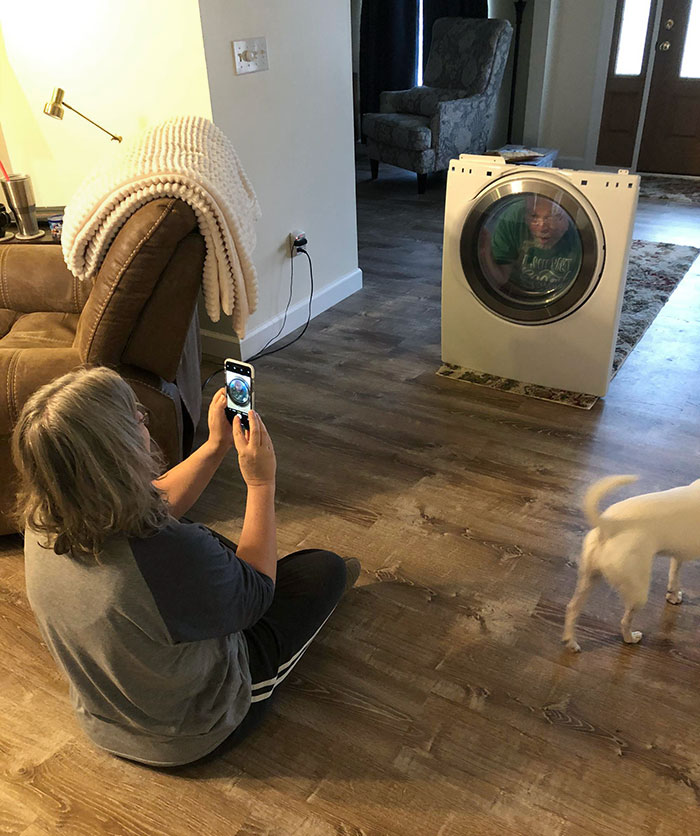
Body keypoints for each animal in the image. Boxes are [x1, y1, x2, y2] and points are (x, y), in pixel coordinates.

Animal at [560, 476, 700, 652]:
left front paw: (673, 596)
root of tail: (608, 526)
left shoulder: (677, 554)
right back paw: (631, 638)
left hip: (588, 578)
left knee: (572, 608)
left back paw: (571, 642)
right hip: (638, 594)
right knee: (624, 621)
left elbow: (674, 576)